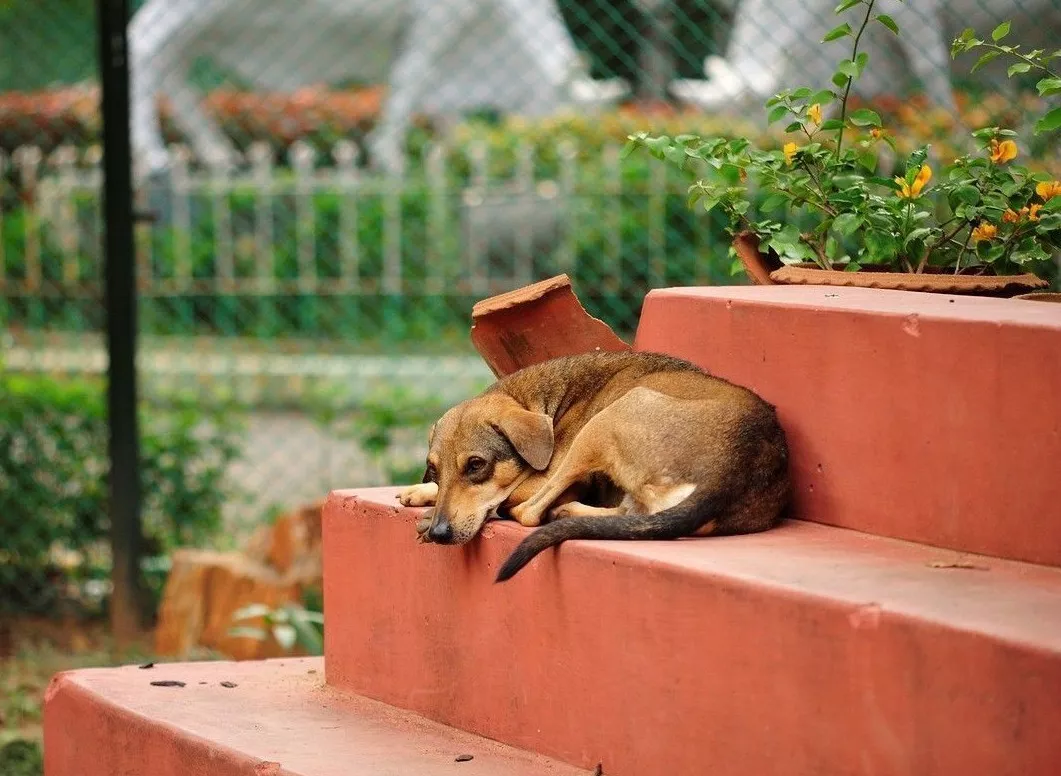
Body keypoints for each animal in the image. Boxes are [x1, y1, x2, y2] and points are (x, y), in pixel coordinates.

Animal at [398, 352, 789, 581]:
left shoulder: (549, 476)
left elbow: (513, 498)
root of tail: (733, 469)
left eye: (476, 465)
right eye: (434, 470)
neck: (536, 400)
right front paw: (419, 491)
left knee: (529, 512)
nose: (440, 533)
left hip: (606, 420)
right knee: (632, 514)